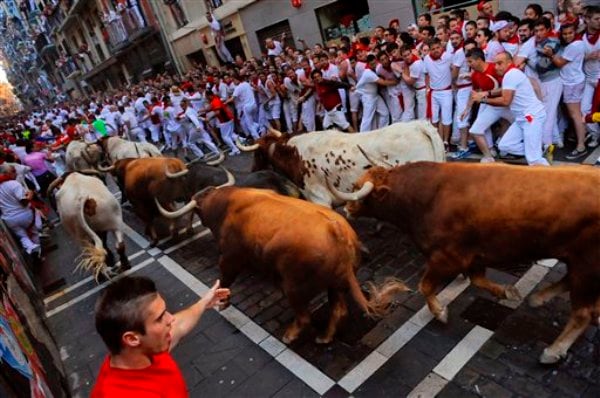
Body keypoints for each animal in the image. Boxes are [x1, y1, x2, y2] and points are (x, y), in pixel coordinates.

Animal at [154, 187, 412, 346]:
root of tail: (336, 229)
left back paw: (290, 335)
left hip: (294, 286)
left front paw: (223, 303)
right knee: (338, 310)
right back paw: (324, 338)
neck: (225, 204)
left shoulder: (229, 258)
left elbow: (225, 279)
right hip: (336, 284)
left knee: (304, 317)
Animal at [328, 161, 600, 364]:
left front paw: (440, 313)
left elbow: (425, 286)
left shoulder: (446, 257)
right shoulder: (473, 255)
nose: (347, 210)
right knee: (572, 287)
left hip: (586, 265)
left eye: (357, 189)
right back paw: (538, 298)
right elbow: (479, 280)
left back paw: (553, 351)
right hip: (577, 263)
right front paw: (507, 292)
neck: (426, 195)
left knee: (582, 312)